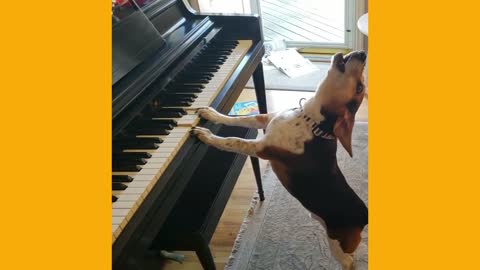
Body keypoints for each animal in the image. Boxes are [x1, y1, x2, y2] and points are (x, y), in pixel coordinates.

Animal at [190, 51, 368, 270]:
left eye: (359, 87)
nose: (363, 54)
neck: (309, 119)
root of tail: (364, 215)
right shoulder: (264, 119)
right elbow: (237, 119)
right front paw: (211, 113)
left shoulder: (261, 148)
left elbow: (233, 141)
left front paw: (207, 136)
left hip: (337, 244)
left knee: (348, 260)